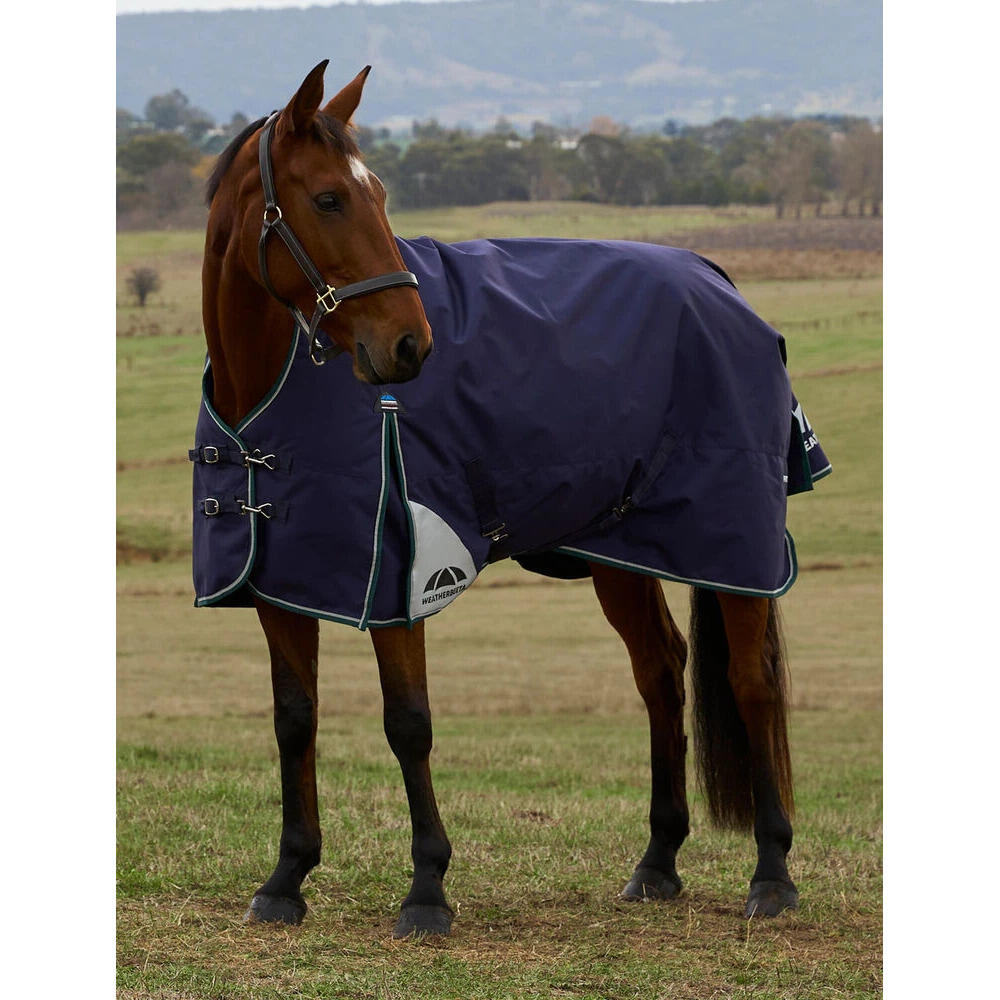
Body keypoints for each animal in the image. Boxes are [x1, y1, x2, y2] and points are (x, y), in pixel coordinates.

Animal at [197, 61, 809, 939]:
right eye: (329, 198)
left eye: (379, 193)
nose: (410, 344)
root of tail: (717, 280)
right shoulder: (282, 583)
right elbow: (294, 719)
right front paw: (286, 878)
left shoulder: (402, 579)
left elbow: (408, 723)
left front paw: (427, 890)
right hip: (623, 551)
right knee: (661, 673)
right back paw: (657, 862)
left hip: (731, 543)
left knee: (751, 682)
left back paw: (772, 874)